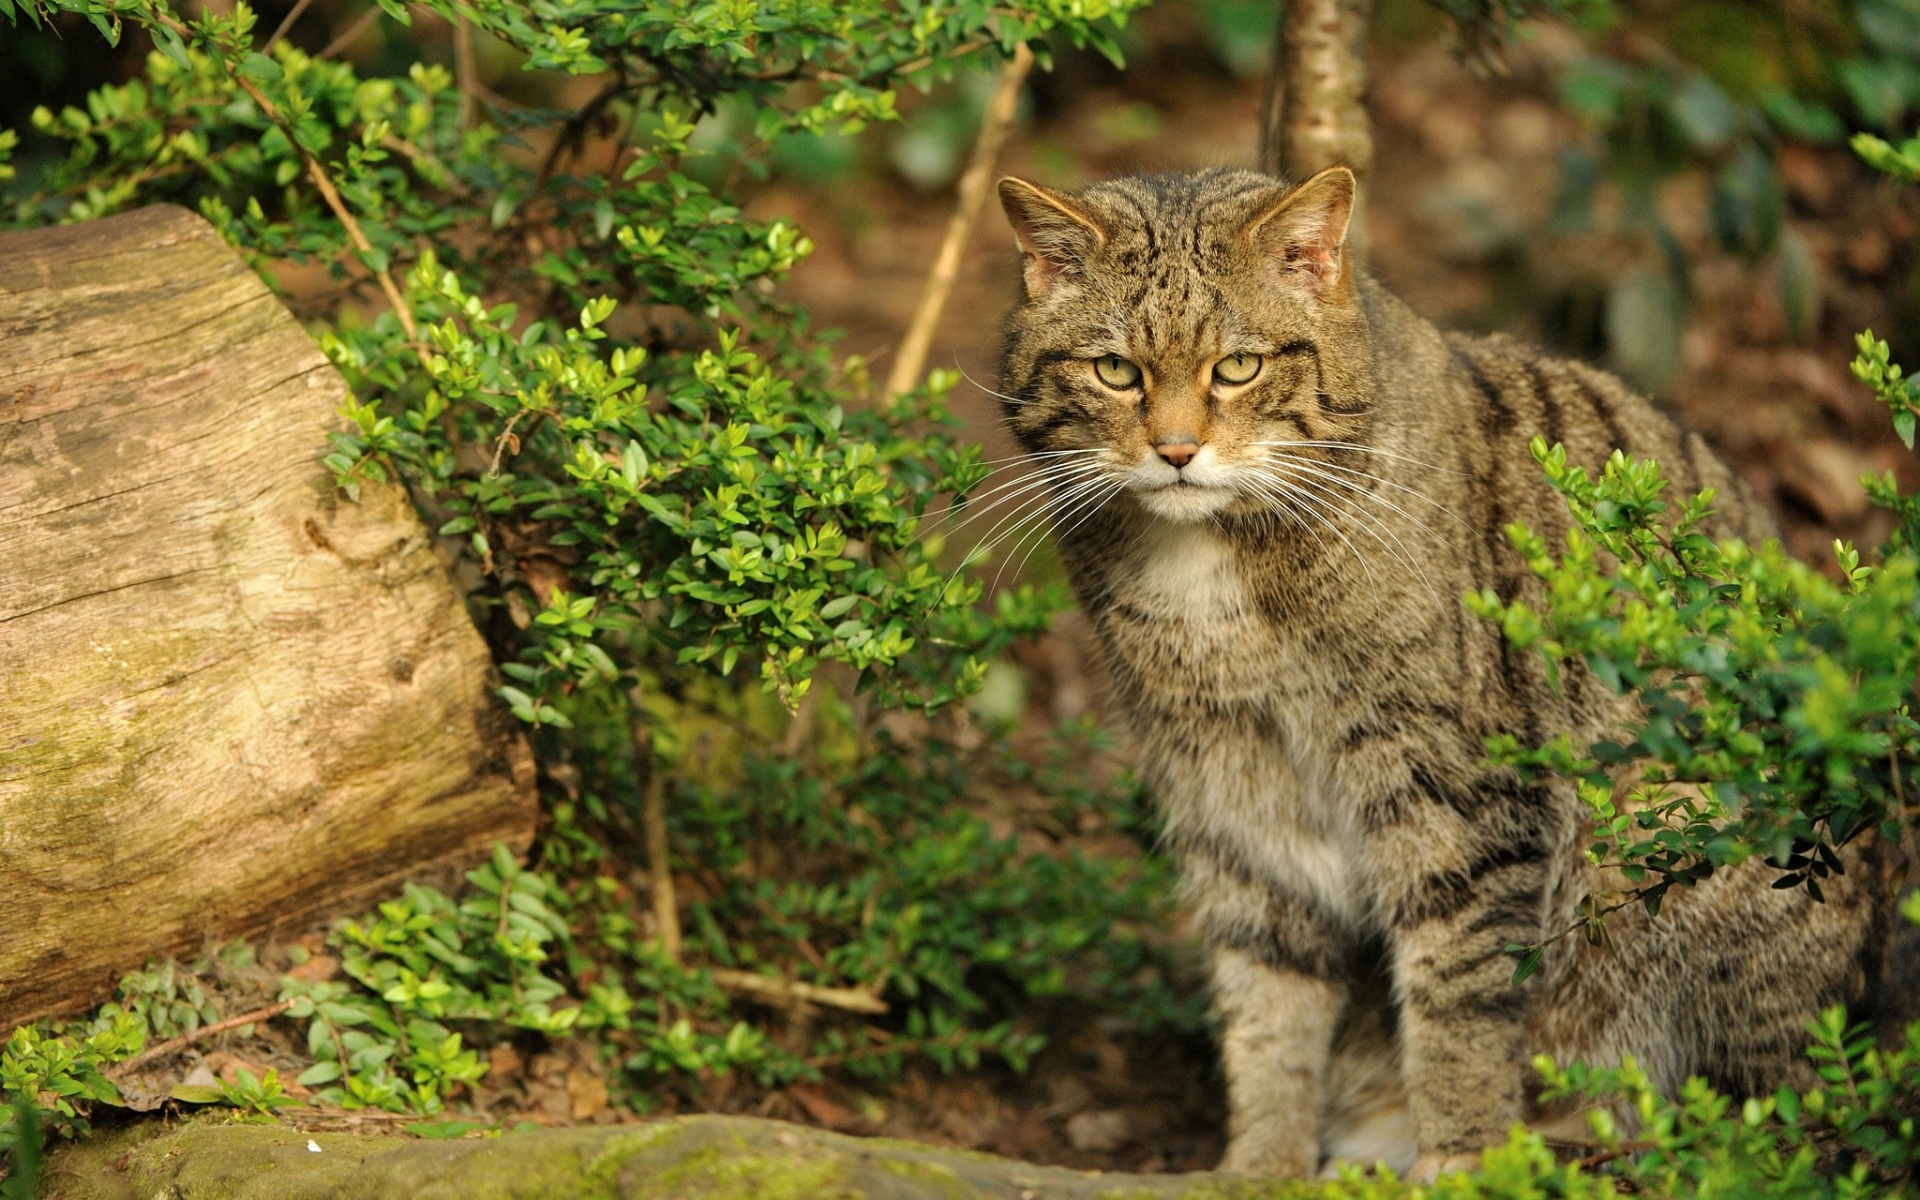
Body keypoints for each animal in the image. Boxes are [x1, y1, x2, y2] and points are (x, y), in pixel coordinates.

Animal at [990, 166, 1904, 1182]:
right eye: (1117, 371)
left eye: (1239, 367)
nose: (1178, 451)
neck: (1213, 567)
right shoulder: (1231, 792)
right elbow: (1267, 1002)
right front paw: (1261, 1164)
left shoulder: (1461, 797)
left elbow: (1461, 995)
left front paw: (1463, 1161)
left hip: (1676, 831)